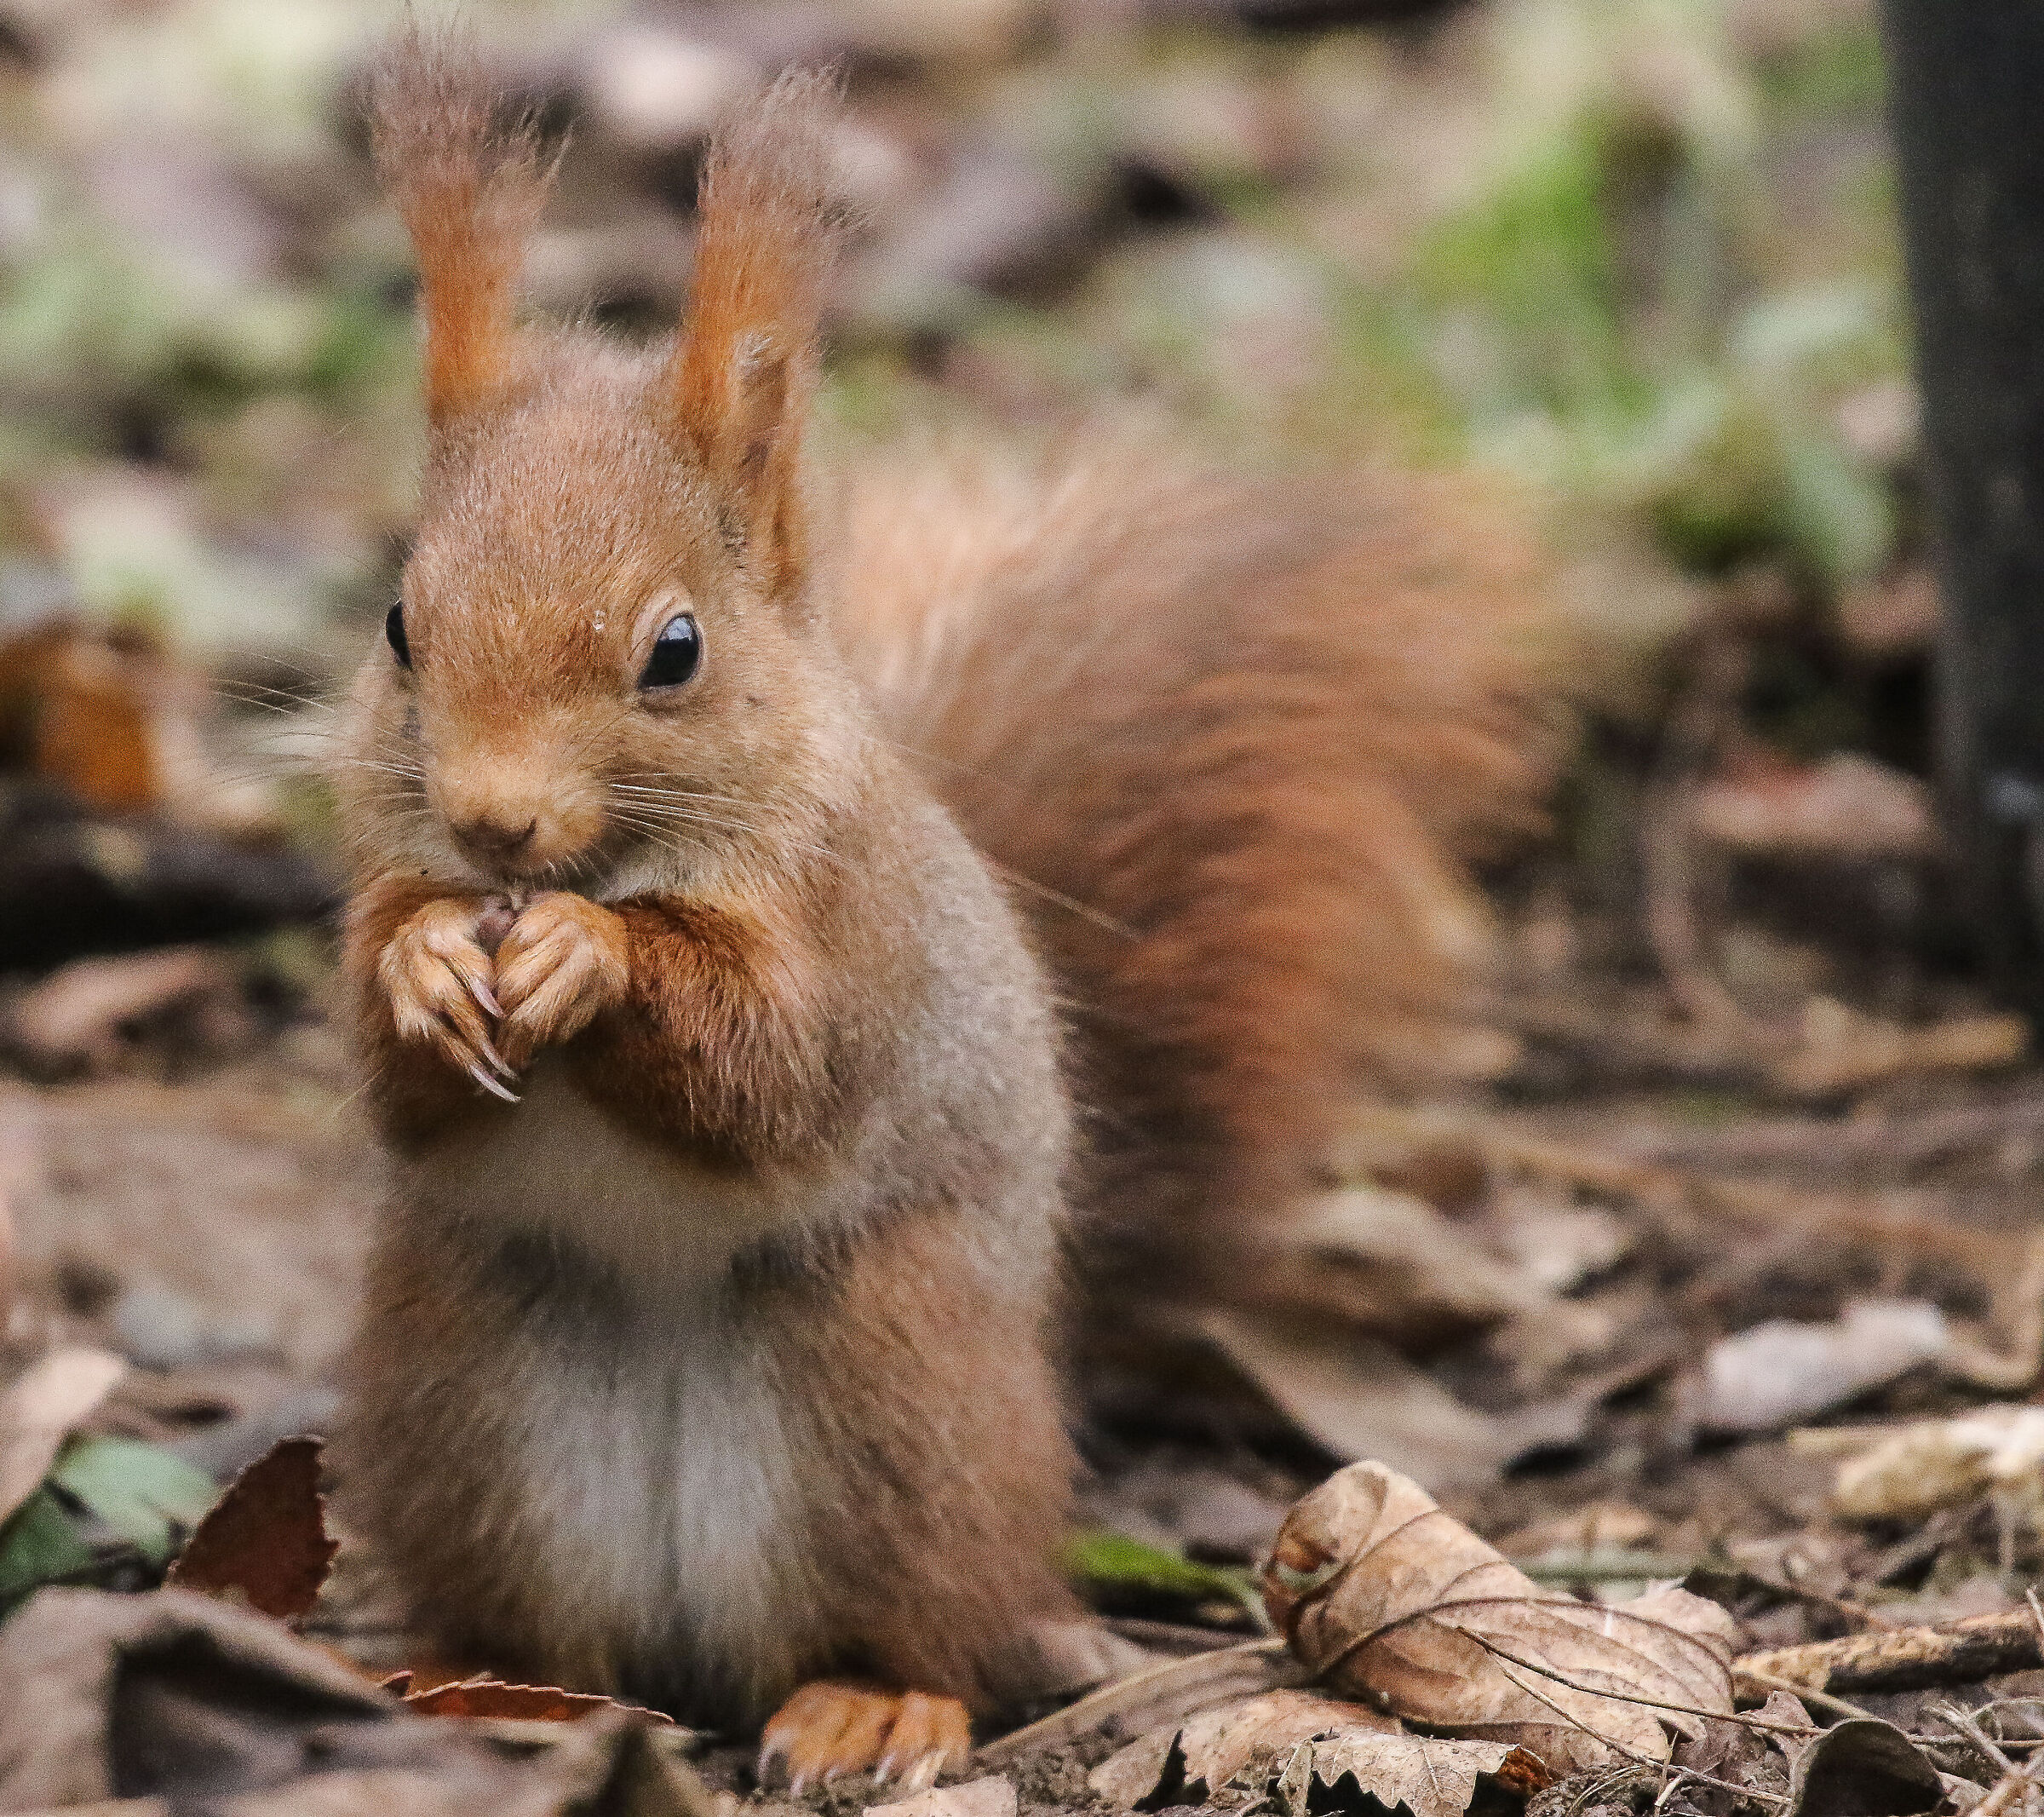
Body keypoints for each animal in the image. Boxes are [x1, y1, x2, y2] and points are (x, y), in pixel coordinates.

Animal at [332, 31, 1546, 1796]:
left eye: (676, 650)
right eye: (398, 623)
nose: (494, 821)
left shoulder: (862, 942)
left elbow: (770, 1073)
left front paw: (590, 956)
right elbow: (394, 1080)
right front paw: (428, 959)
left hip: (887, 1388)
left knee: (922, 1608)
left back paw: (869, 1700)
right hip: (474, 1389)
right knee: (542, 1613)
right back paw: (475, 1680)